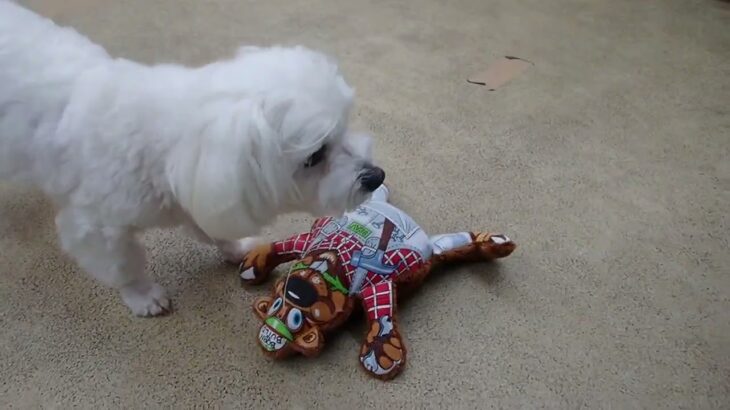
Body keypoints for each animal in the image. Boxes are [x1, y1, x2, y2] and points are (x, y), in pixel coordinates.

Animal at [0, 1, 384, 316]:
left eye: (345, 124)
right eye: (315, 155)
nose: (376, 177)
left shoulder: (201, 192)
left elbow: (213, 227)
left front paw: (235, 248)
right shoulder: (95, 227)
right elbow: (122, 264)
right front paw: (142, 295)